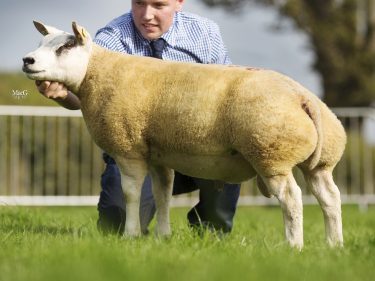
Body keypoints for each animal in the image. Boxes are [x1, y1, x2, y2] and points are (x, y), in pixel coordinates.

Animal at [22, 21, 346, 248]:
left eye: (65, 47)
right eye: (42, 43)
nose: (27, 60)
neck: (96, 73)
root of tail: (304, 98)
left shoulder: (128, 148)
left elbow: (130, 194)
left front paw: (130, 235)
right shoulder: (159, 155)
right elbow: (162, 194)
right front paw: (162, 237)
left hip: (271, 154)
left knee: (291, 198)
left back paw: (294, 246)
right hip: (320, 163)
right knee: (330, 197)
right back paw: (334, 245)